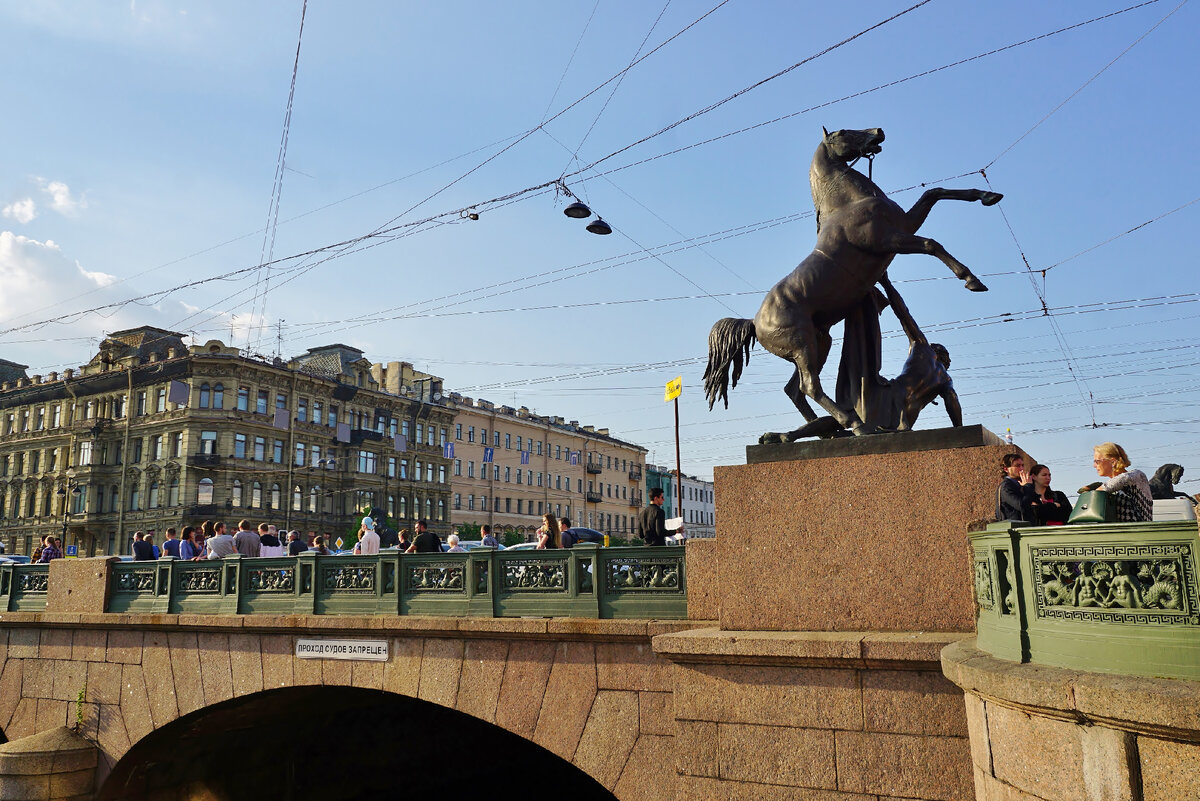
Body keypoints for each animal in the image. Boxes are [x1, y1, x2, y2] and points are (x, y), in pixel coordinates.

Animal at [700, 127, 1003, 434]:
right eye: (841, 133)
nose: (878, 132)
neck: (850, 203)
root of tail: (754, 321)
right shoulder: (888, 239)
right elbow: (931, 243)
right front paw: (972, 280)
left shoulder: (905, 224)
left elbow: (934, 192)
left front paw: (989, 195)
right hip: (803, 345)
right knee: (810, 386)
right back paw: (856, 425)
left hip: (819, 342)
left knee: (794, 390)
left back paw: (826, 432)